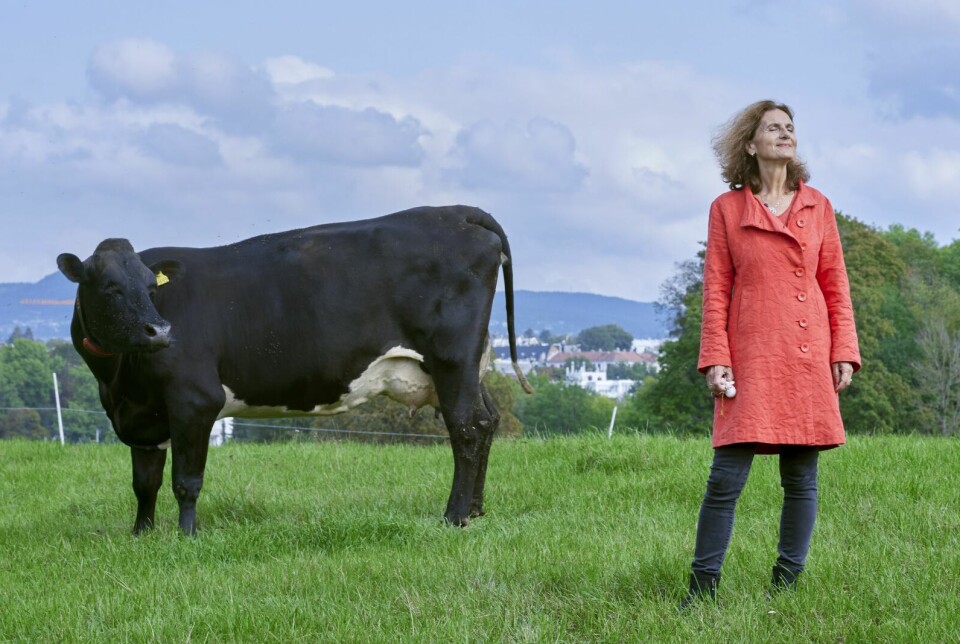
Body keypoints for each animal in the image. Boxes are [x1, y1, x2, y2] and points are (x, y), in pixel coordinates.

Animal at [57, 206, 533, 535]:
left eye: (151, 288)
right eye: (110, 288)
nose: (160, 331)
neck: (118, 383)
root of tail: (453, 211)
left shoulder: (194, 400)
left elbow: (185, 480)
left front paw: (186, 535)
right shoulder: (143, 416)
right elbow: (145, 482)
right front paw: (141, 534)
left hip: (452, 358)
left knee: (467, 426)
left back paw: (454, 517)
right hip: (467, 366)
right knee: (487, 420)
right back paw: (475, 510)